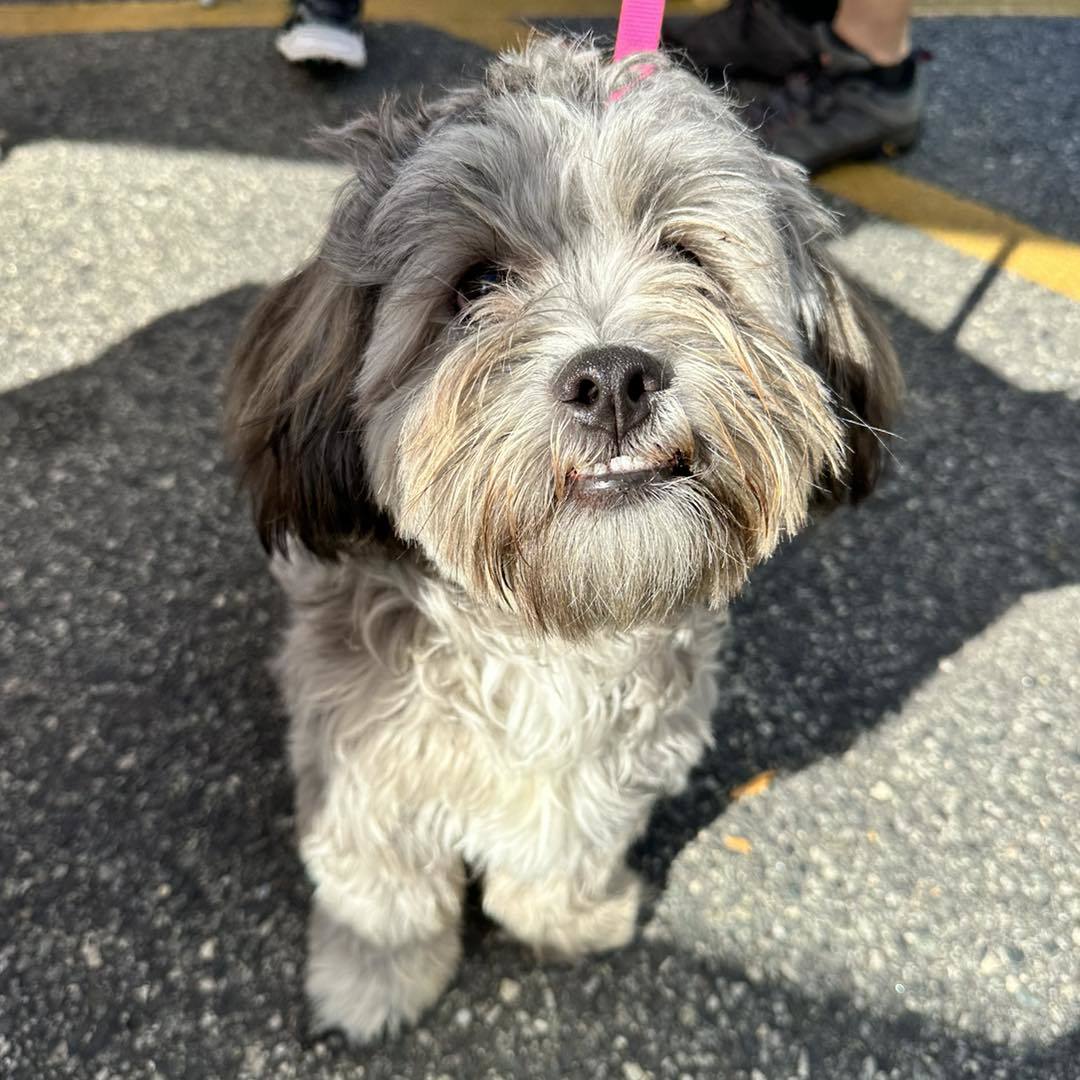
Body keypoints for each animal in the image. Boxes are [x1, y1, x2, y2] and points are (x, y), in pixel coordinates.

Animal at [225, 38, 902, 1041]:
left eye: (685, 252)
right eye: (476, 283)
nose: (615, 377)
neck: (546, 631)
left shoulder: (614, 764)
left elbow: (564, 849)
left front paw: (568, 918)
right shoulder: (363, 764)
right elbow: (381, 891)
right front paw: (373, 979)